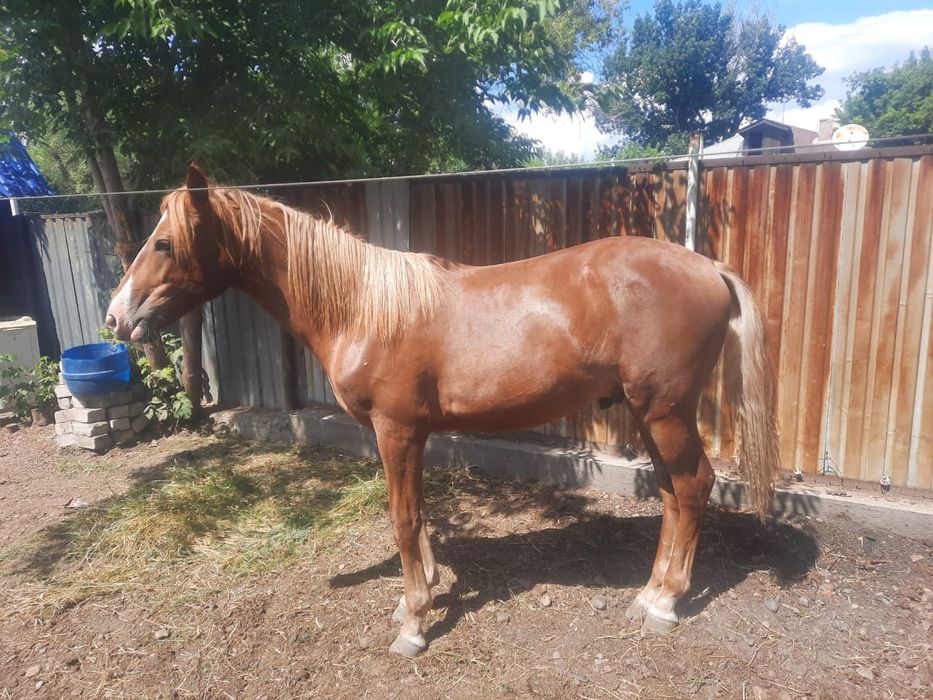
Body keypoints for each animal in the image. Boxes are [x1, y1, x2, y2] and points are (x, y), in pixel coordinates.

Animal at [106, 164, 780, 657]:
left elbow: (403, 520)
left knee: (693, 487)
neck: (364, 307)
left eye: (164, 242)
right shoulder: (414, 435)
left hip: (666, 412)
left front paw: (414, 624)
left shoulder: (397, 431)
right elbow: (422, 514)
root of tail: (708, 267)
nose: (116, 318)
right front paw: (421, 594)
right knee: (670, 493)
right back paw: (648, 592)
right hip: (650, 415)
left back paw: (667, 602)